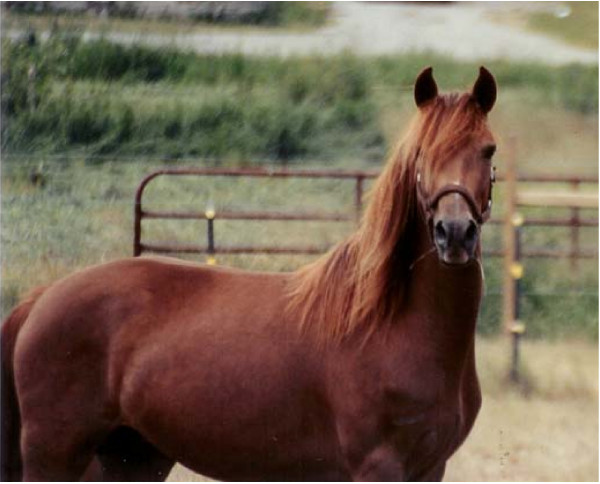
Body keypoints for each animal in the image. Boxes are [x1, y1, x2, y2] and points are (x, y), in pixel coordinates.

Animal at [1, 67, 496, 480]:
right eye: (421, 154)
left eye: (488, 150)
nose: (454, 233)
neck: (391, 321)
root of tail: (41, 299)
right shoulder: (378, 466)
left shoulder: (429, 469)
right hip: (55, 454)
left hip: (131, 457)